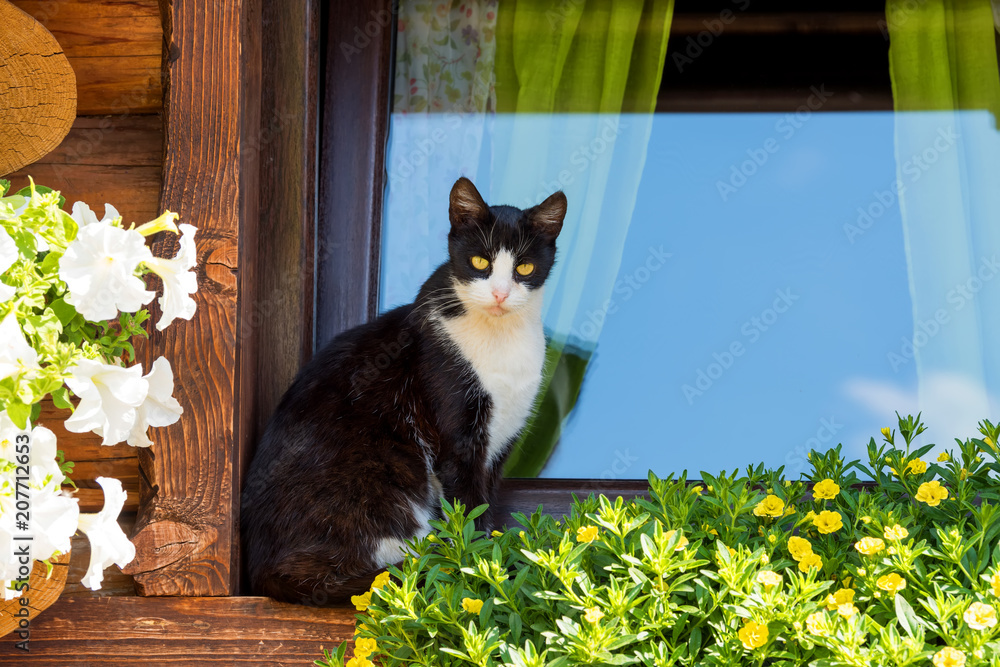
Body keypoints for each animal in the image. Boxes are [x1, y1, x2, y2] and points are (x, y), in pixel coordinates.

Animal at [242, 179, 568, 604]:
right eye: (480, 262)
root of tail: (262, 574)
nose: (499, 294)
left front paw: (493, 560)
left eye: (524, 267)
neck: (501, 341)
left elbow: (487, 504)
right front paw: (482, 570)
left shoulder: (500, 445)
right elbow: (470, 507)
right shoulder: (457, 439)